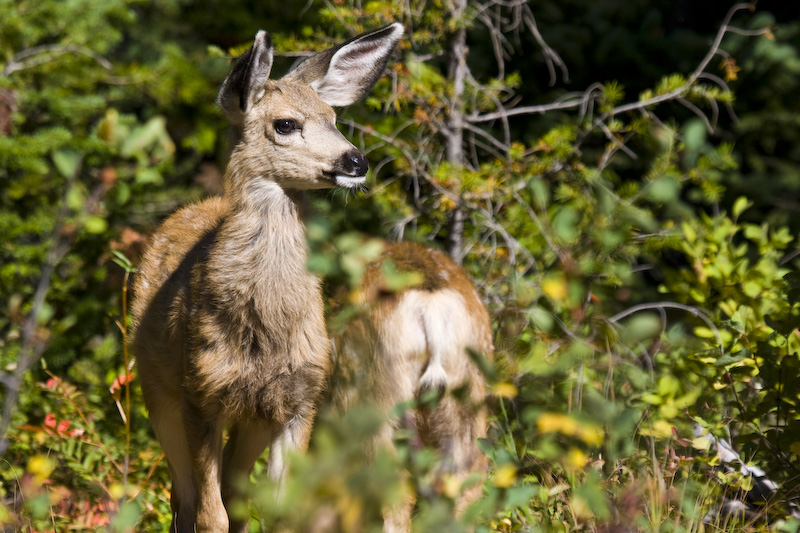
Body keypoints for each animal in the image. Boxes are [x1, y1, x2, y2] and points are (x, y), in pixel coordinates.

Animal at [133, 23, 406, 532]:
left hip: (252, 419)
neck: (266, 330)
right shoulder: (201, 392)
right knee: (184, 498)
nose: (356, 161)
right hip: (155, 389)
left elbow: (280, 510)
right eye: (285, 124)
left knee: (235, 494)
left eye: (334, 118)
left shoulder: (300, 398)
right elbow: (211, 515)